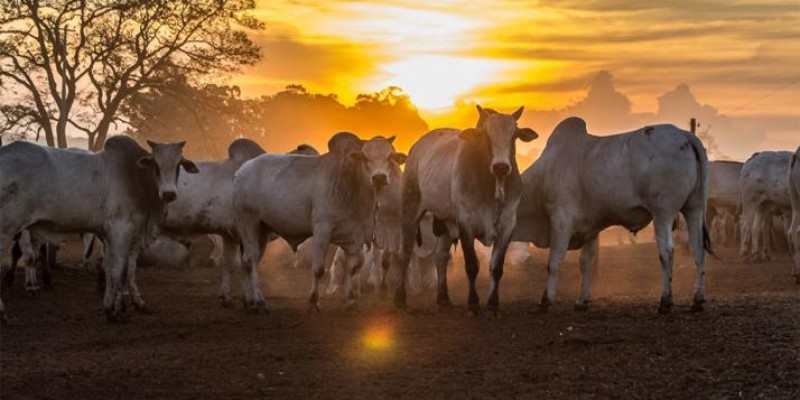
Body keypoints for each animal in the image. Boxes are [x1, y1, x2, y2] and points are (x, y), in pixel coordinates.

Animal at [0, 136, 198, 324]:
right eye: (156, 164)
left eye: (179, 164)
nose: (169, 194)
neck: (134, 176)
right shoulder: (120, 230)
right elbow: (120, 271)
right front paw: (118, 313)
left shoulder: (111, 235)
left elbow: (110, 269)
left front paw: (110, 308)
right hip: (7, 228)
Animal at [231, 133, 406, 310]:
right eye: (365, 157)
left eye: (389, 156)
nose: (379, 178)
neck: (352, 185)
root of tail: (243, 169)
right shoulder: (322, 229)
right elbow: (319, 268)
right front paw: (314, 300)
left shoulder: (355, 236)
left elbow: (352, 267)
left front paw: (350, 299)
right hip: (248, 222)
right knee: (251, 259)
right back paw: (259, 301)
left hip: (263, 229)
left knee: (249, 261)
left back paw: (249, 300)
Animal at [394, 106, 536, 316]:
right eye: (486, 135)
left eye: (514, 135)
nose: (501, 167)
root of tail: (418, 146)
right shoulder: (465, 222)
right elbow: (471, 265)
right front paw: (473, 303)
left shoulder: (508, 224)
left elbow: (497, 267)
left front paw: (493, 304)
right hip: (409, 210)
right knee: (405, 253)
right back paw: (400, 299)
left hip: (445, 222)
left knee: (441, 257)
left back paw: (443, 299)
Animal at [512, 117, 712, 314]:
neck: (541, 178)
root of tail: (685, 135)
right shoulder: (590, 228)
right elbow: (586, 263)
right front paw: (581, 300)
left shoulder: (561, 220)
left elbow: (554, 262)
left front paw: (546, 300)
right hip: (694, 208)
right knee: (698, 249)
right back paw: (698, 299)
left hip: (662, 212)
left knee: (667, 251)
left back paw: (665, 300)